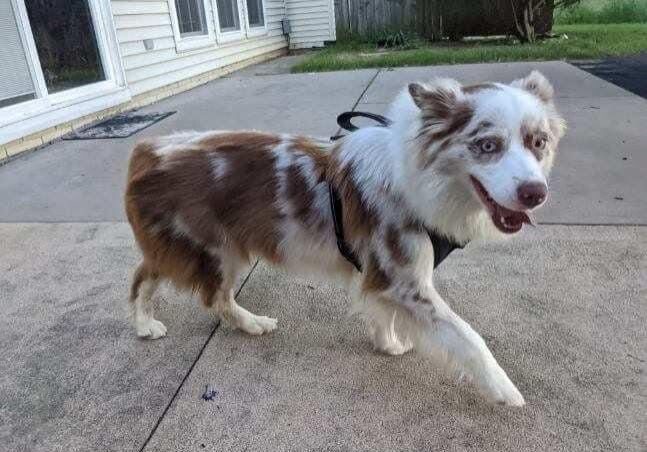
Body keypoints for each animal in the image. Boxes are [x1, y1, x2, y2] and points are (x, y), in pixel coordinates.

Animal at [124, 71, 564, 406]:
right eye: (487, 145)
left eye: (538, 142)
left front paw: (388, 345)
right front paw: (505, 389)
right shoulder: (406, 281)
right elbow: (468, 337)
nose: (535, 193)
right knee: (173, 286)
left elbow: (381, 313)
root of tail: (146, 149)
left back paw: (245, 324)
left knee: (187, 287)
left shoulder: (383, 276)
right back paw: (150, 325)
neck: (414, 180)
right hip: (210, 249)